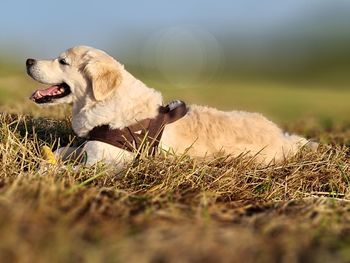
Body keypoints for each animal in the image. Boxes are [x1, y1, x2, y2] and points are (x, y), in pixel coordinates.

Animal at [25, 45, 314, 167]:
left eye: (62, 61)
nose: (28, 61)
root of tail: (284, 138)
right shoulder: (89, 147)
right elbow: (62, 150)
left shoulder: (105, 164)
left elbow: (62, 169)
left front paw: (43, 170)